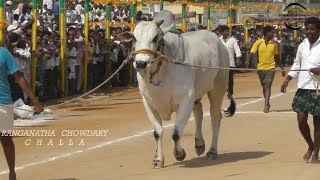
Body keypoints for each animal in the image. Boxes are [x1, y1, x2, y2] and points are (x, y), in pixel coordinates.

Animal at [119, 14, 235, 168]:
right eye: (134, 38)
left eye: (155, 38)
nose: (141, 63)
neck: (161, 70)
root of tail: (220, 43)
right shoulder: (149, 103)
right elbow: (157, 132)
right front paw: (158, 159)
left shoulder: (186, 99)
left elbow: (176, 132)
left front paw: (180, 154)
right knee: (198, 110)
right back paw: (199, 144)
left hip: (217, 88)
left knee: (215, 117)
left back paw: (212, 151)